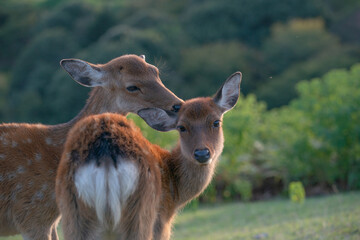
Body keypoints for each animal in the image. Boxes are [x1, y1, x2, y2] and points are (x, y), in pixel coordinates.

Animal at [55, 72, 242, 239]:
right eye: (181, 127)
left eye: (216, 122)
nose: (202, 153)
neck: (175, 192)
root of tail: (105, 155)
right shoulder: (162, 222)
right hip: (141, 212)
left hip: (72, 212)